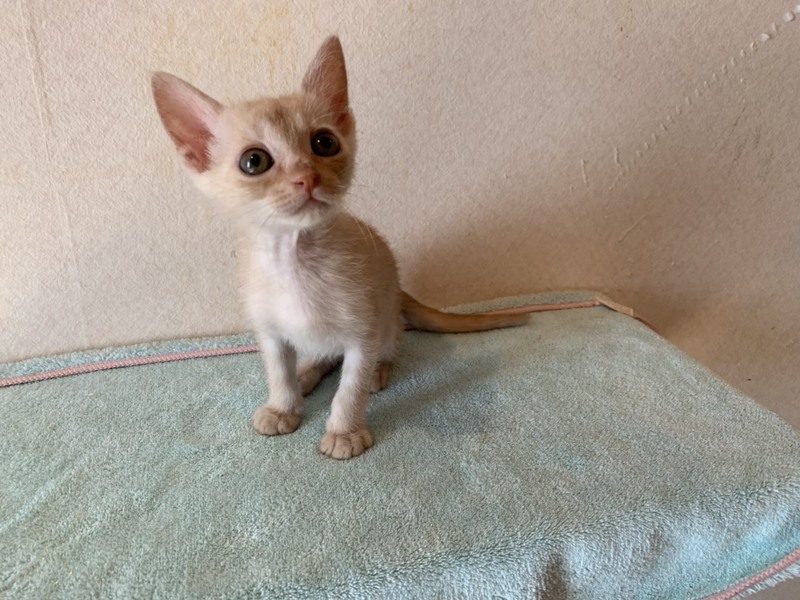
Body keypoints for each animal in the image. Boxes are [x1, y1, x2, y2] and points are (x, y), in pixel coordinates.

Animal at [151, 36, 527, 459]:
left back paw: (377, 371)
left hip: (383, 320)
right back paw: (305, 375)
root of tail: (399, 287)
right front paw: (283, 406)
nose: (307, 177)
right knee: (322, 354)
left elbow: (350, 388)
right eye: (254, 161)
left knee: (388, 346)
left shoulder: (362, 332)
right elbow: (277, 371)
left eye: (324, 142)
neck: (297, 260)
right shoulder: (269, 331)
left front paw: (345, 431)